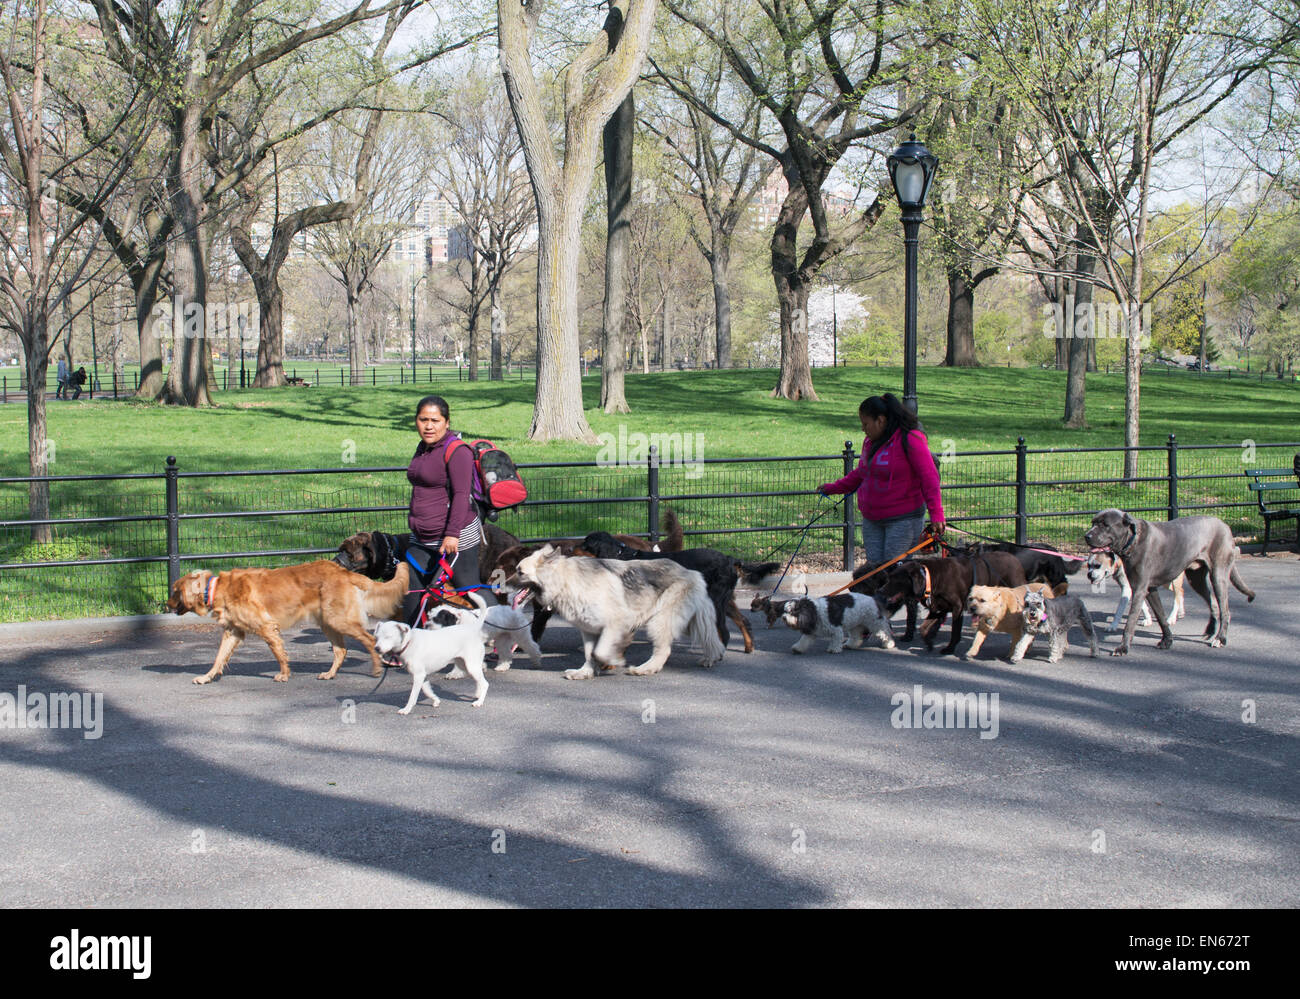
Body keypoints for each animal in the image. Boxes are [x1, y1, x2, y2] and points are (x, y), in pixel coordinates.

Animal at [167, 556, 408, 681]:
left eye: (175, 592)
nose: (167, 605)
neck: (217, 588)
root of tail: (343, 571)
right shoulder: (233, 632)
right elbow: (219, 657)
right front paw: (206, 677)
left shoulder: (266, 626)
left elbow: (279, 653)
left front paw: (283, 675)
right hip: (328, 623)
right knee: (341, 651)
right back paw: (329, 674)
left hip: (339, 620)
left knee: (368, 640)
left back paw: (376, 669)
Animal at [512, 546, 728, 676]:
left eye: (520, 572)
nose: (504, 585)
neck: (565, 579)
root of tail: (691, 573)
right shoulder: (589, 630)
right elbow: (590, 653)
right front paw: (585, 672)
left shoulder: (617, 624)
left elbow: (600, 651)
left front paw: (612, 659)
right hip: (688, 621)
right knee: (710, 637)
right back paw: (712, 657)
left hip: (659, 621)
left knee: (664, 649)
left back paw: (646, 668)